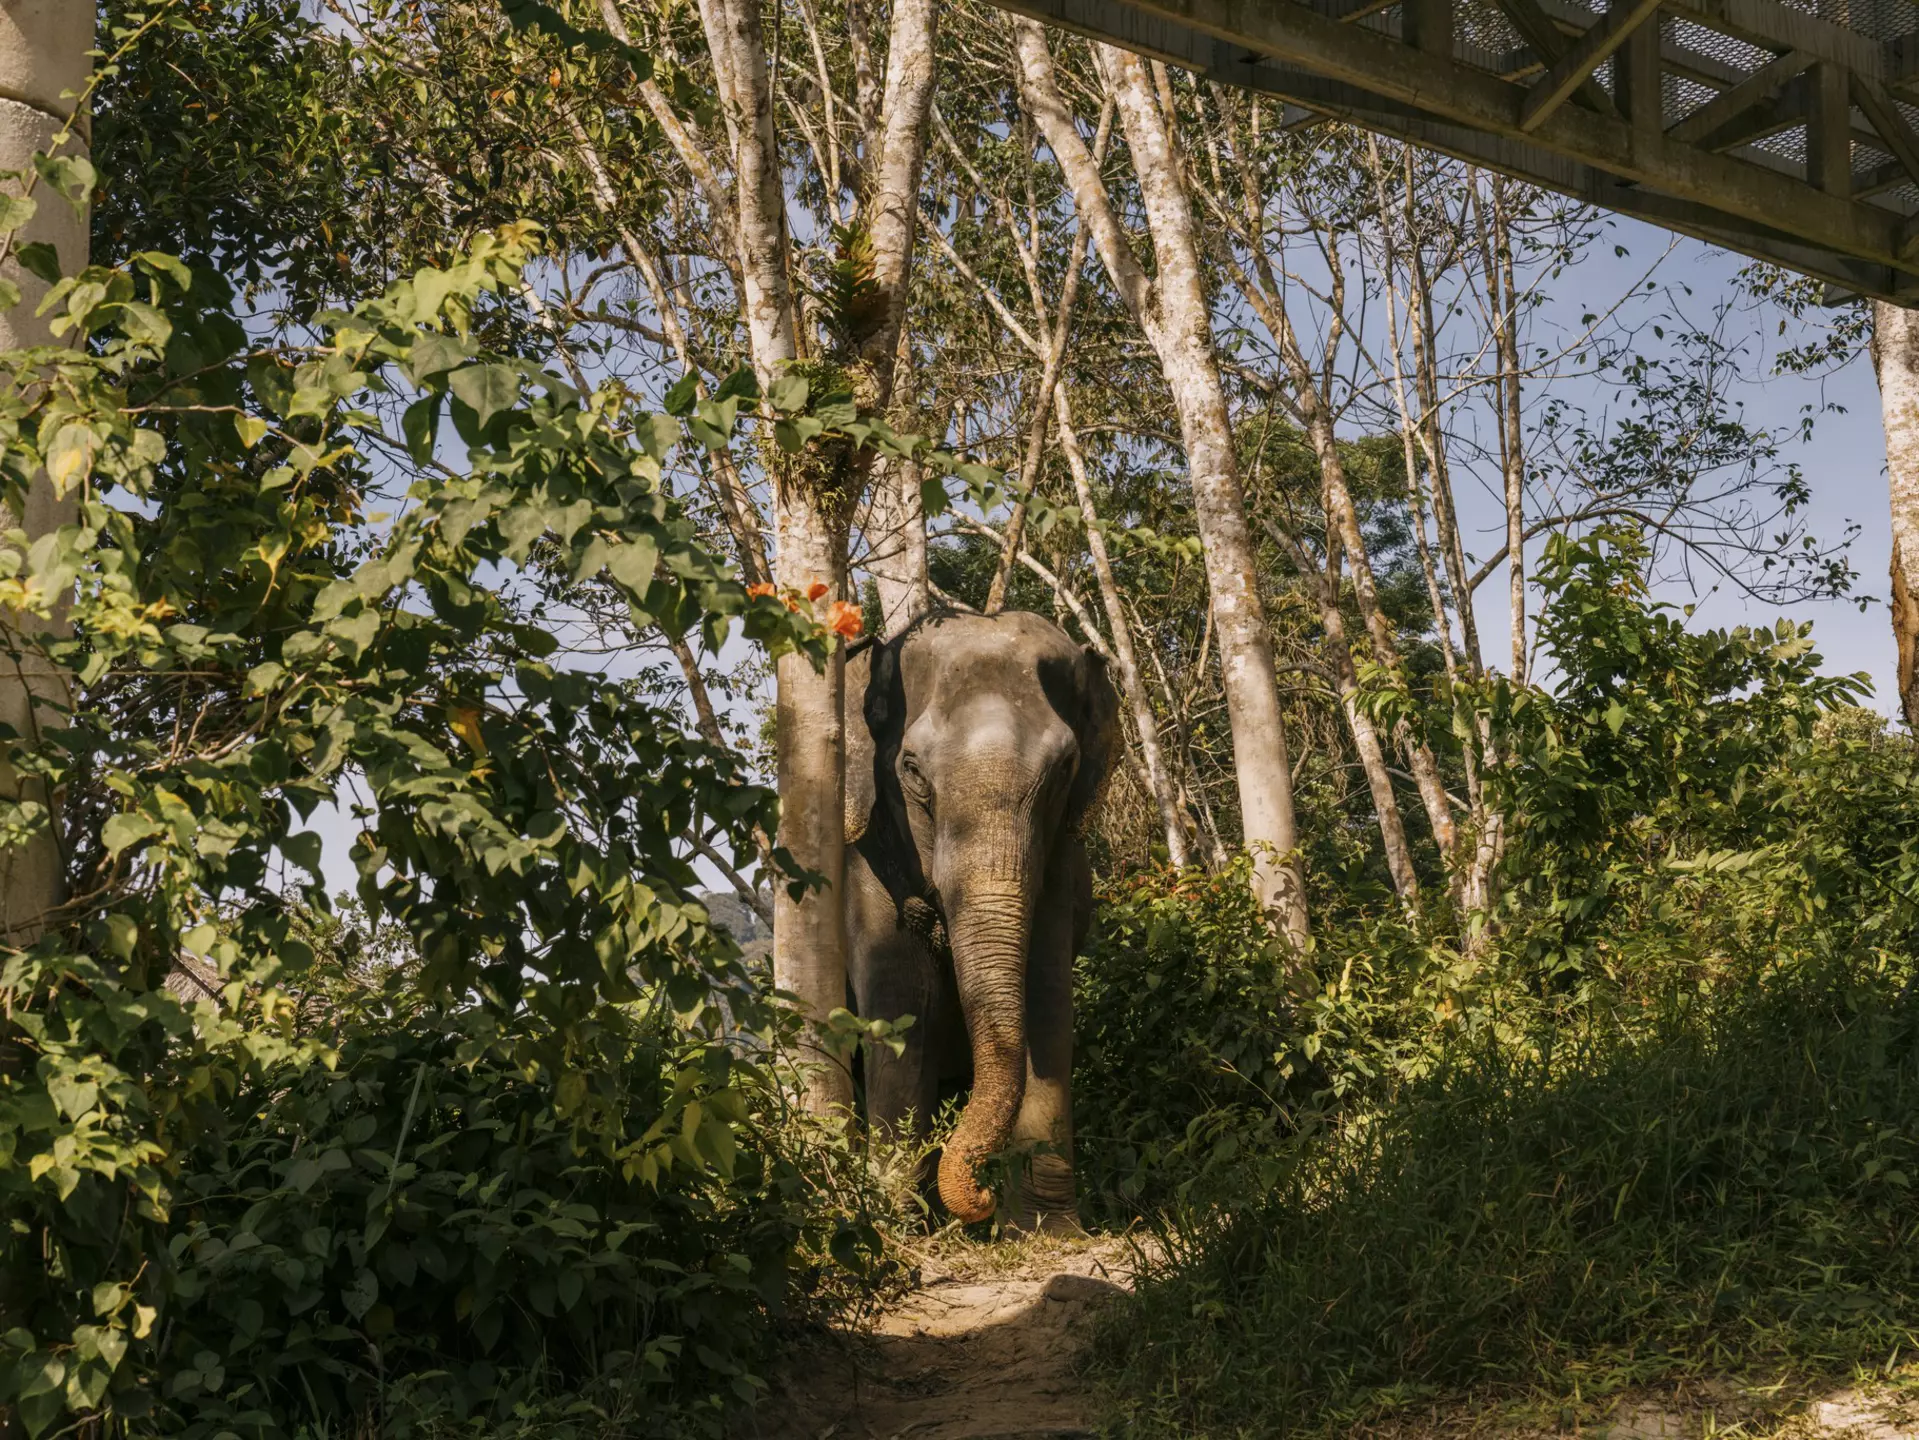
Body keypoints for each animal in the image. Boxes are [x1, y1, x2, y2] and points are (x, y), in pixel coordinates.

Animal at [843, 608, 1118, 1229]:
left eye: (1065, 768)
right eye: (912, 769)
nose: (982, 1197)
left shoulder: (1058, 872)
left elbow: (1045, 998)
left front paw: (1046, 1227)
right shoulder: (868, 866)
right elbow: (900, 1004)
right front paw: (898, 1223)